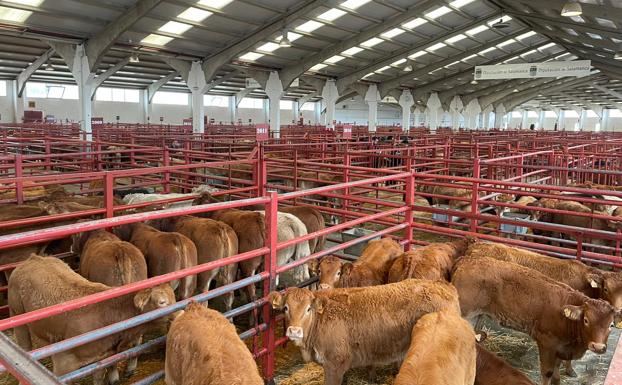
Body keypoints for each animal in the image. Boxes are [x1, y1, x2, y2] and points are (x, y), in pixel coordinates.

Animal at [8, 255, 177, 384]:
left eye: (174, 298)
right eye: (162, 302)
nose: (180, 313)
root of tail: (33, 258)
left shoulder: (100, 358)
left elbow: (98, 378)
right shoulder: (63, 361)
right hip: (16, 314)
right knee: (24, 344)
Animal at [454, 255, 620, 384]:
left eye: (611, 325)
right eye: (586, 320)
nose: (598, 347)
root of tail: (466, 260)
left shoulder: (561, 349)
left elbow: (557, 374)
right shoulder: (547, 344)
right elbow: (547, 373)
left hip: (477, 315)